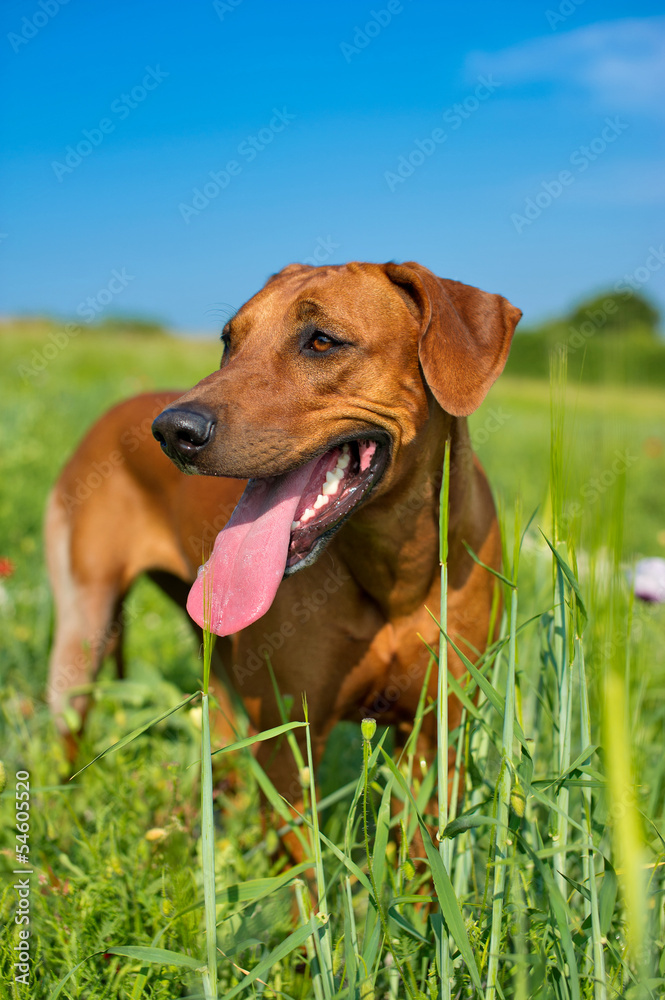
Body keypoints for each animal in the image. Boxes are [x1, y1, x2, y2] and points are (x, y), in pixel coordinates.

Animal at [46, 264, 520, 812]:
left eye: (322, 341)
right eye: (229, 342)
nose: (172, 431)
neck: (392, 569)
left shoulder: (435, 738)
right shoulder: (290, 739)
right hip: (84, 628)